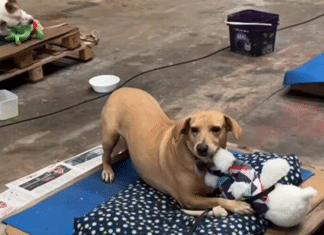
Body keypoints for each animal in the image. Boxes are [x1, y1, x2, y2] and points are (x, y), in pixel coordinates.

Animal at [100, 87, 253, 214]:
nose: (201, 148)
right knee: (105, 156)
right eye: (193, 129)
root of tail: (122, 89)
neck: (200, 162)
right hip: (109, 136)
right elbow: (217, 199)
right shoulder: (188, 199)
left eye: (216, 129)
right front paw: (237, 206)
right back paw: (107, 170)